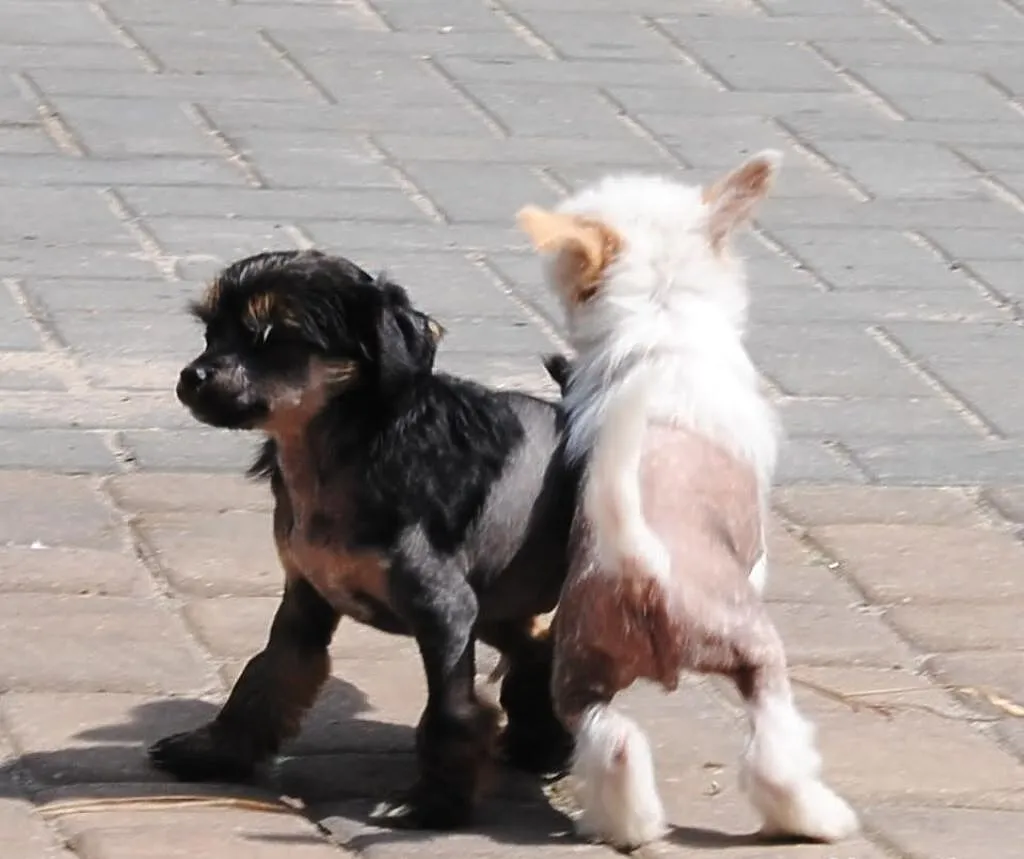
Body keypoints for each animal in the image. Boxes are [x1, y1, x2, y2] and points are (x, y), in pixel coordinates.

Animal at [147, 249, 577, 829]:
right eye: (211, 332)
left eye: (270, 337)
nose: (192, 375)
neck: (335, 455)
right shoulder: (305, 602)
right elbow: (264, 677)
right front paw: (217, 751)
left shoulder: (445, 613)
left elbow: (451, 712)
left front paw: (435, 803)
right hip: (502, 606)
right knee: (539, 651)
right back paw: (541, 743)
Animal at [516, 152, 859, 849]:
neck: (661, 313)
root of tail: (638, 567)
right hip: (754, 650)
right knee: (774, 751)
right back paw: (816, 818)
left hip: (581, 679)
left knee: (615, 744)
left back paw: (628, 827)